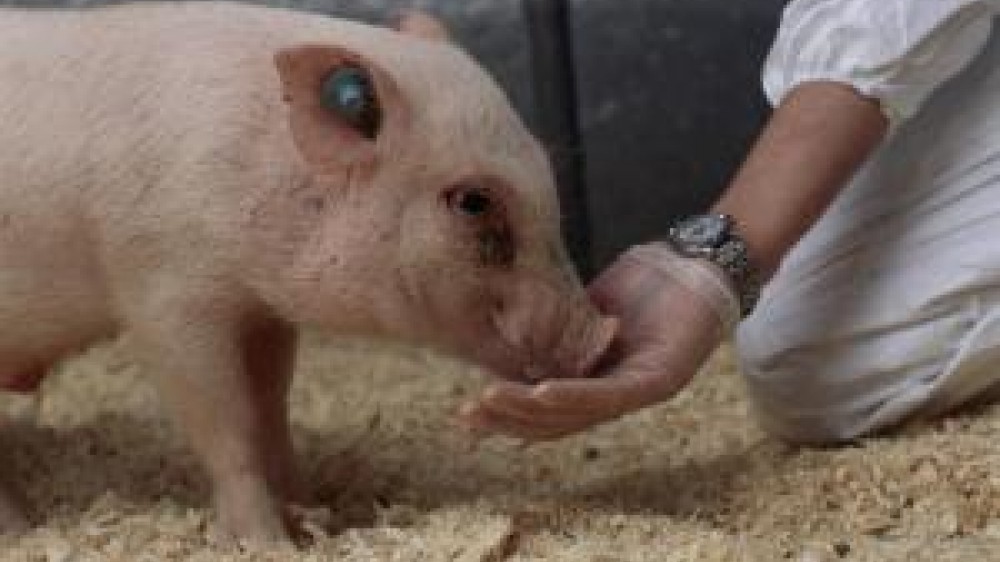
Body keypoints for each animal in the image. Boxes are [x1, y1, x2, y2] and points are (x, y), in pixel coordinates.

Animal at [0, 1, 616, 544]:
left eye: (544, 167)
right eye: (473, 201)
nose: (602, 337)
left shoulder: (263, 311)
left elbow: (271, 407)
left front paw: (316, 518)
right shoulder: (164, 294)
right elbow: (227, 423)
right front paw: (269, 544)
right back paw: (21, 528)